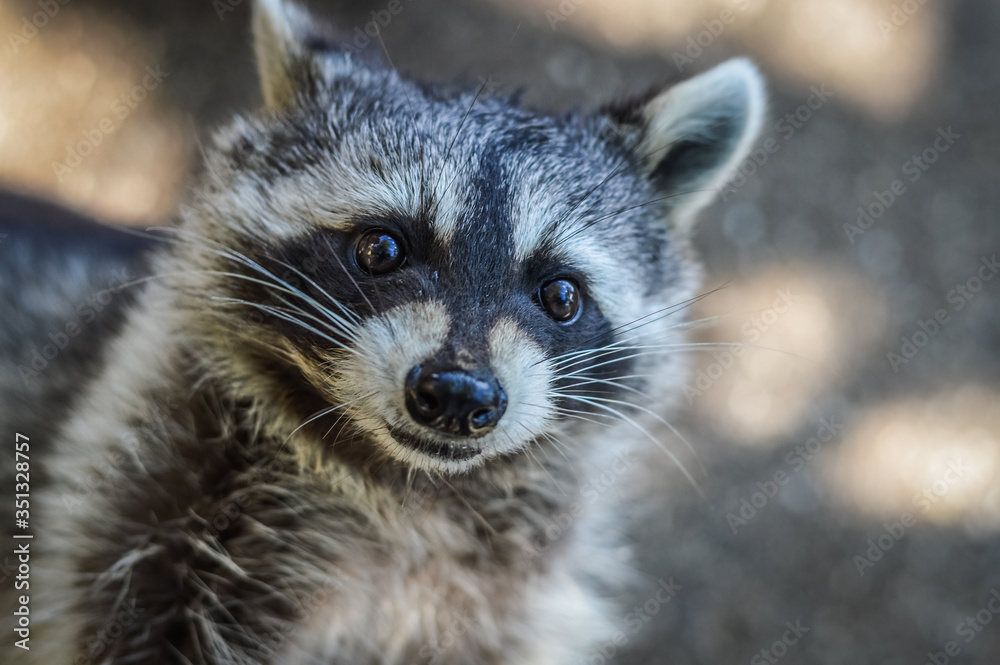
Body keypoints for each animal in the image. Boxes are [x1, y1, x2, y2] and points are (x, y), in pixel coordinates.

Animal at [0, 0, 765, 662]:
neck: (402, 484)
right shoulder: (134, 496)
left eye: (561, 295)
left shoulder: (500, 606)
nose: (457, 393)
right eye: (382, 248)